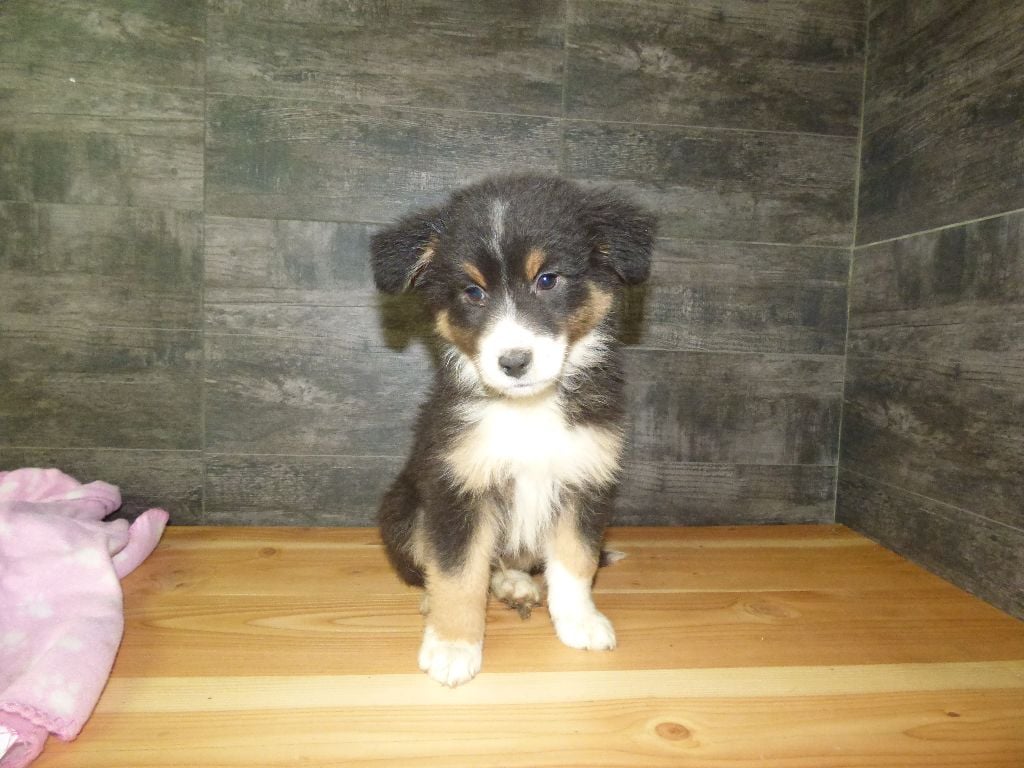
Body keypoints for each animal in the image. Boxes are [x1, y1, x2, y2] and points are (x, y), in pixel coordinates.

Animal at [370, 174, 655, 686]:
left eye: (547, 280)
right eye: (472, 292)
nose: (514, 362)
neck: (528, 411)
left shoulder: (585, 481)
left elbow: (576, 561)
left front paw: (580, 621)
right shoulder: (456, 488)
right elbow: (458, 574)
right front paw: (452, 645)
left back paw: (514, 584)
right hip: (401, 508)